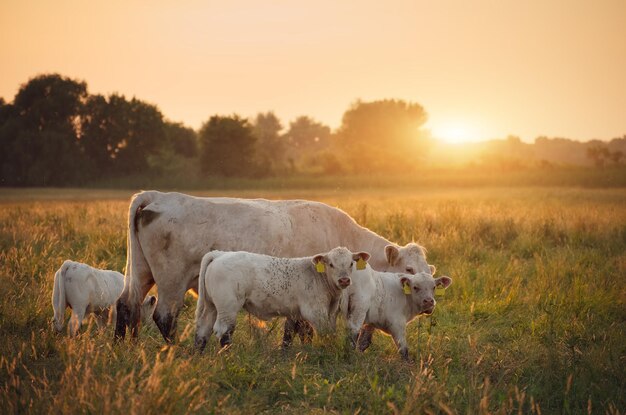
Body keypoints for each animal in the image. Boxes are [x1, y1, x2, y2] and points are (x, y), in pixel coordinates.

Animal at [195, 249, 368, 352]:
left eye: (351, 263)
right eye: (331, 264)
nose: (344, 280)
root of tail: (219, 254)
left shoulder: (296, 313)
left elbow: (295, 333)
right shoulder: (314, 311)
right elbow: (324, 333)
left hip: (211, 306)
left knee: (203, 329)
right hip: (227, 307)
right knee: (224, 331)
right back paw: (228, 356)